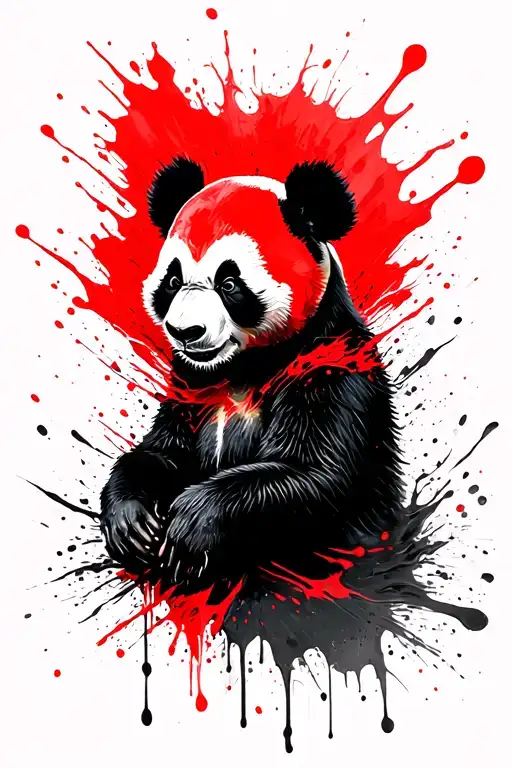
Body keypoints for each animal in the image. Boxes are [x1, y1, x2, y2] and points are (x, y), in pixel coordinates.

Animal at [100, 158, 404, 596]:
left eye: (229, 283)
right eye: (173, 281)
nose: (185, 332)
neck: (241, 367)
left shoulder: (331, 369)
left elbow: (314, 473)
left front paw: (188, 529)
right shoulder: (189, 383)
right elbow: (163, 451)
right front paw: (132, 522)